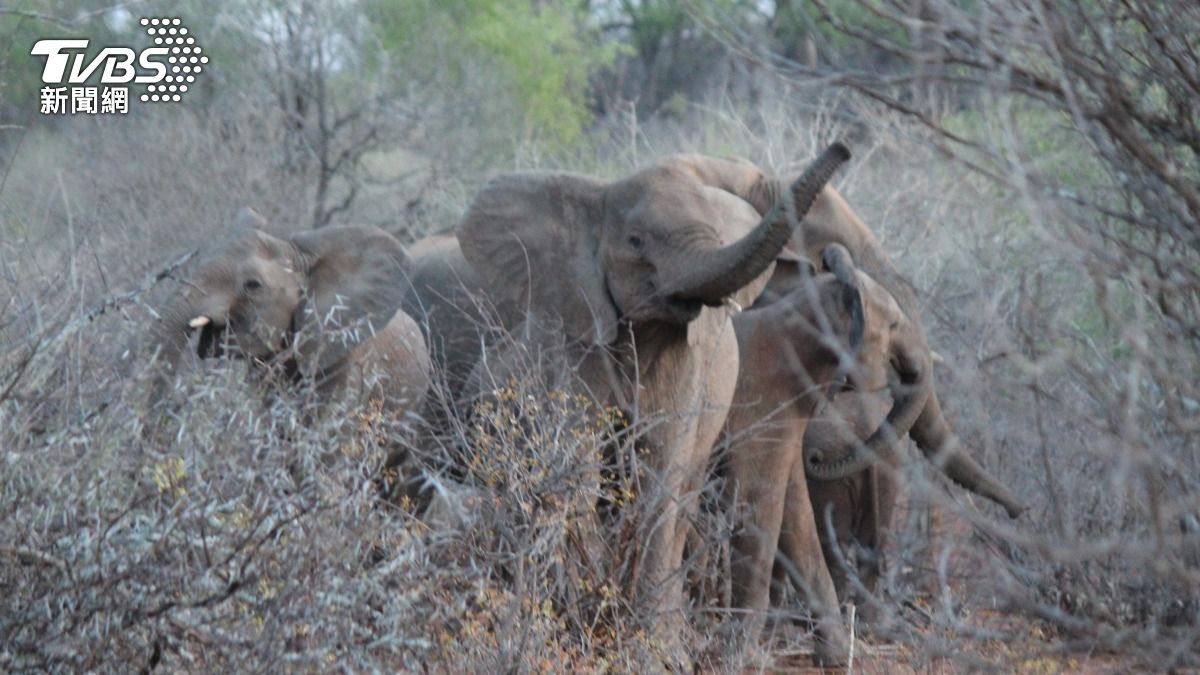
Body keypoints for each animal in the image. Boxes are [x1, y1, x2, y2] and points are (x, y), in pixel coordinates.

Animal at [453, 143, 853, 659]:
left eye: (716, 234)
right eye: (636, 241)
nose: (843, 146)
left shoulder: (685, 366)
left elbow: (661, 474)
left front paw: (653, 649)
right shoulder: (576, 350)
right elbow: (578, 470)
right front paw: (587, 616)